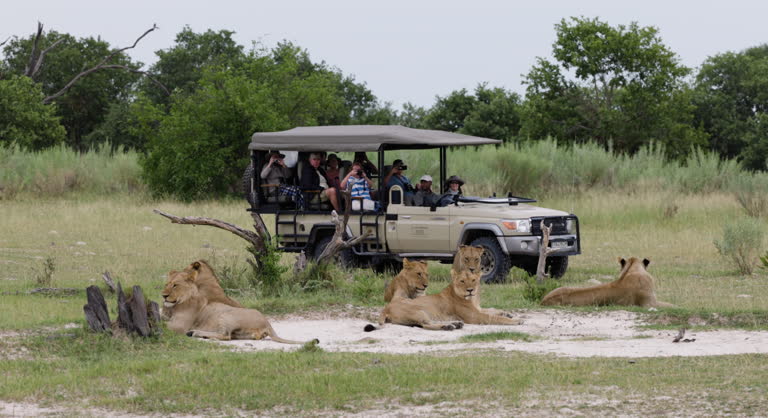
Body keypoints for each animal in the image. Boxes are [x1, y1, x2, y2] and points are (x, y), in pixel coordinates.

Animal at [162, 269, 317, 344]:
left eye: (175, 285)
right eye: (166, 284)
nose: (163, 295)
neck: (173, 306)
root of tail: (267, 322)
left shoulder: (179, 325)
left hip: (226, 314)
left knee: (226, 336)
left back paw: (195, 333)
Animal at [365, 270, 522, 331]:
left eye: (473, 280)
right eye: (462, 281)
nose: (470, 290)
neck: (473, 299)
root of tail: (386, 307)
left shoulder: (478, 309)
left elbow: (492, 310)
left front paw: (507, 313)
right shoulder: (475, 316)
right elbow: (494, 317)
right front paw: (516, 320)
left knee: (423, 324)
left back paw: (455, 324)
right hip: (419, 311)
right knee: (425, 325)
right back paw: (449, 326)